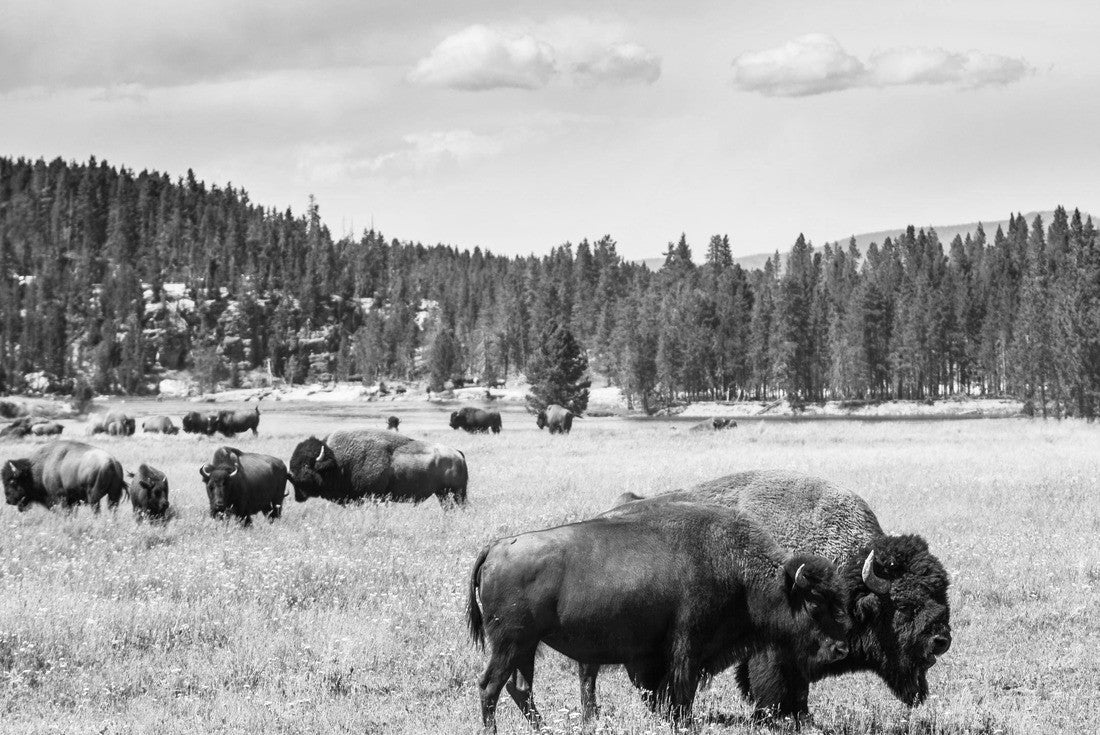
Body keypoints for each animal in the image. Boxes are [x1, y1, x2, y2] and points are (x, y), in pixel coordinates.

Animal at [289, 429, 468, 507]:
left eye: (306, 465)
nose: (298, 495)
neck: (337, 462)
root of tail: (457, 453)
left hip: (455, 492)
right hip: (443, 494)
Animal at [467, 502, 850, 732]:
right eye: (815, 603)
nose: (841, 648)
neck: (740, 570)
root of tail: (495, 548)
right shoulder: (687, 647)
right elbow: (682, 691)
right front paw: (685, 723)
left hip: (526, 647)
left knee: (520, 688)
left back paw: (543, 727)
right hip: (510, 643)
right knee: (489, 686)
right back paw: (494, 730)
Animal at [605, 470, 952, 724]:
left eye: (942, 594)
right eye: (904, 604)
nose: (941, 641)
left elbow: (797, 686)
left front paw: (800, 717)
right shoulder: (773, 648)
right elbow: (775, 683)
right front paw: (774, 718)